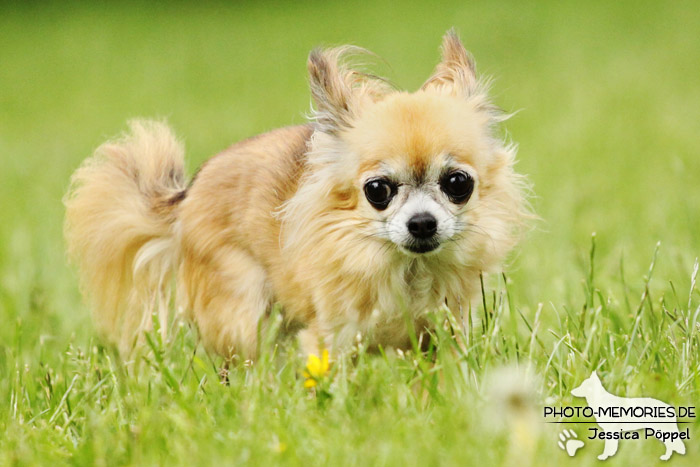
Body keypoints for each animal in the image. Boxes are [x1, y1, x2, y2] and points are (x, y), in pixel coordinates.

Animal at [65, 31, 528, 360]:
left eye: (458, 184)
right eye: (377, 190)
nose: (422, 223)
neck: (406, 269)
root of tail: (185, 195)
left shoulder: (441, 337)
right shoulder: (330, 338)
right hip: (242, 306)